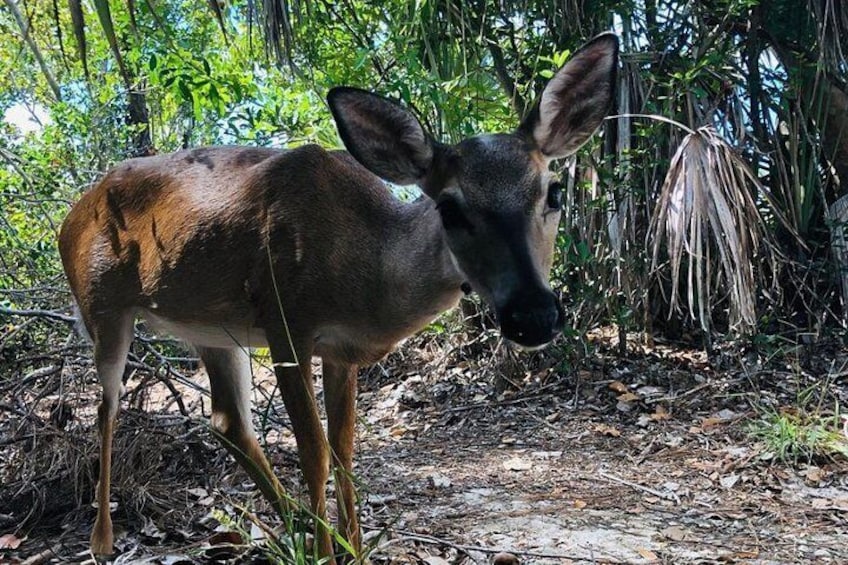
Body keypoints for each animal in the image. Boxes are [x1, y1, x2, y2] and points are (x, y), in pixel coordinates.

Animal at [58, 33, 616, 560]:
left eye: (555, 192)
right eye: (449, 208)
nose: (534, 315)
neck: (367, 279)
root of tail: (72, 215)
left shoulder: (341, 351)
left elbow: (345, 450)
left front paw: (354, 549)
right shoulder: (286, 322)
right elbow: (315, 453)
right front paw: (330, 553)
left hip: (212, 329)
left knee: (226, 419)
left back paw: (292, 528)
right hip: (100, 304)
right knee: (106, 408)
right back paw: (102, 541)